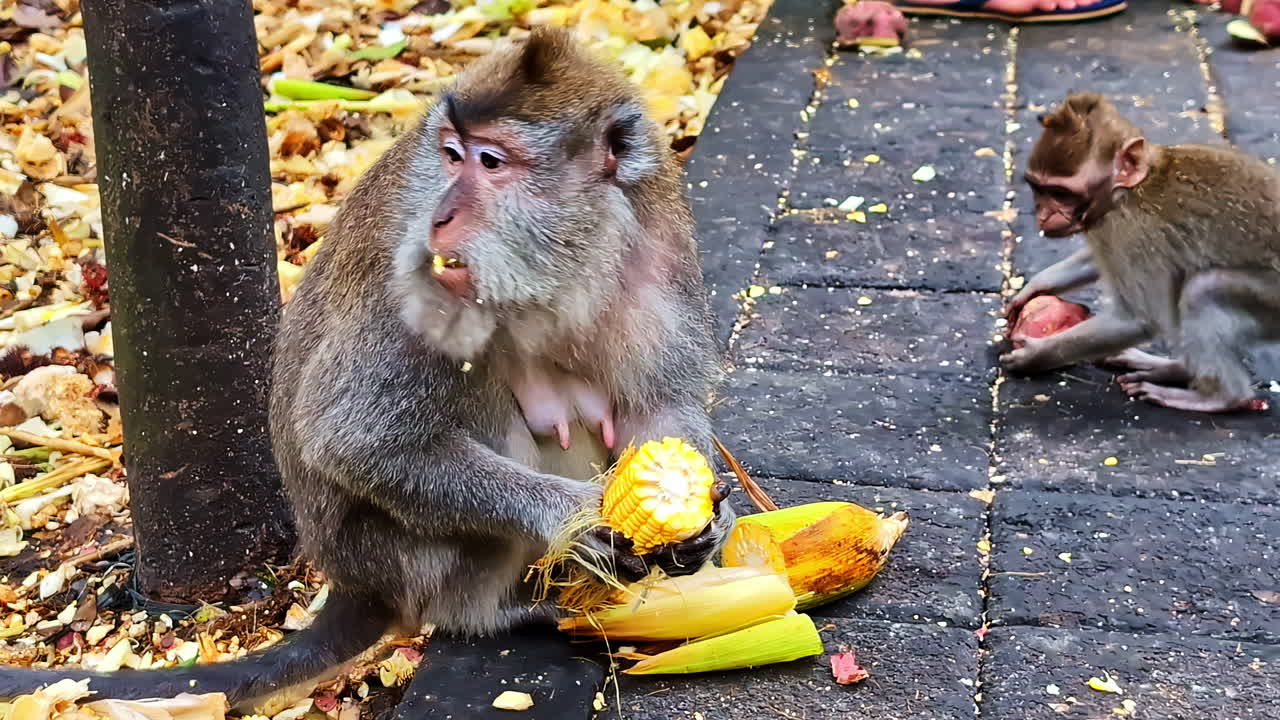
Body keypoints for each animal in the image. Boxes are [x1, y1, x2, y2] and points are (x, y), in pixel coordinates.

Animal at [0, 27, 734, 709]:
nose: (441, 217)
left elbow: (662, 406)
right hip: (403, 556)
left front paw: (701, 523)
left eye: (491, 162)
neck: (564, 267)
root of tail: (355, 581)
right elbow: (356, 442)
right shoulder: (417, 287)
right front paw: (574, 516)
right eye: (452, 155)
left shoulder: (658, 244)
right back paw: (490, 613)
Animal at [1002, 91, 1280, 413]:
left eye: (1061, 193)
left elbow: (1138, 319)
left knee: (1204, 289)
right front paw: (1036, 286)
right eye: (1038, 187)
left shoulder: (1129, 230)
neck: (1132, 189)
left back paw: (1218, 395)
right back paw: (1175, 369)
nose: (1042, 215)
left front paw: (1035, 355)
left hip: (1270, 301)